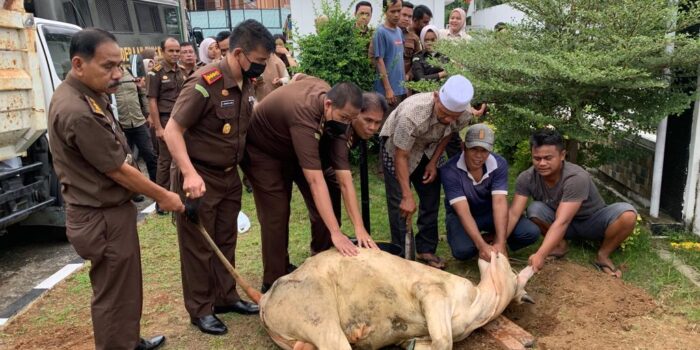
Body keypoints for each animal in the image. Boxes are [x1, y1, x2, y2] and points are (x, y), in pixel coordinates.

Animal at [260, 249, 532, 350]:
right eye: (511, 269)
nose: (494, 250)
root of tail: (264, 299)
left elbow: (423, 343)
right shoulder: (430, 291)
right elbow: (444, 341)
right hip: (318, 316)